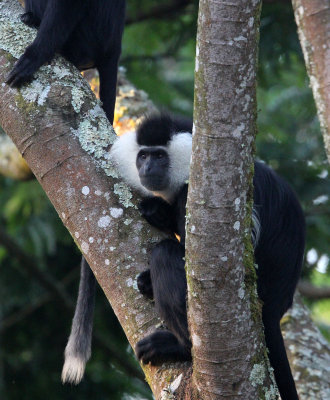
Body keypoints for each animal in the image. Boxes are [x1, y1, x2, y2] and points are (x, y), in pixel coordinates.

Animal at [109, 113, 306, 400]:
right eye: (143, 156)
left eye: (159, 156)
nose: (146, 168)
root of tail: (275, 306)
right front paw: (157, 210)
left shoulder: (192, 193)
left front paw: (147, 279)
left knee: (165, 255)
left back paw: (177, 346)